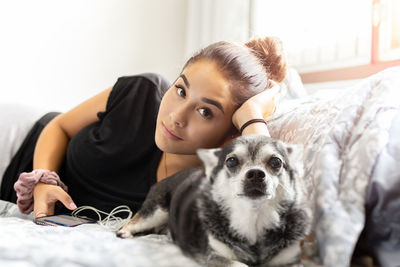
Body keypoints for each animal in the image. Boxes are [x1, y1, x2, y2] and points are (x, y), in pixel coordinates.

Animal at [117, 137, 310, 266]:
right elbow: (240, 264)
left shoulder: (291, 260)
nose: (256, 173)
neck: (253, 218)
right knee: (130, 223)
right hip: (156, 212)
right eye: (231, 162)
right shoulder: (214, 257)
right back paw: (125, 232)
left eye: (276, 162)